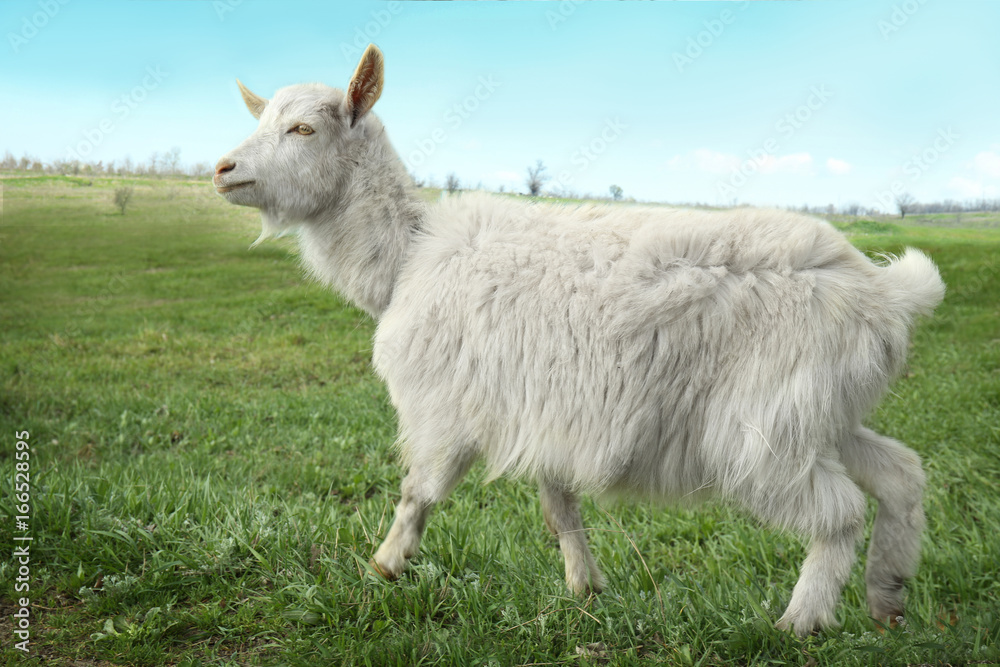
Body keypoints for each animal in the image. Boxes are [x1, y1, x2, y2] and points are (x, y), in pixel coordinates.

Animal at [214, 44, 944, 636]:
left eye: (303, 128)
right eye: (263, 118)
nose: (223, 169)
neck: (405, 258)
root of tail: (885, 293)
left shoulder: (445, 409)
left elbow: (419, 493)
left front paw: (382, 566)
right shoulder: (544, 410)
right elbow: (559, 508)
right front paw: (585, 587)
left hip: (760, 429)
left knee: (840, 511)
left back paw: (801, 621)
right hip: (819, 413)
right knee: (901, 474)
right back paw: (888, 598)